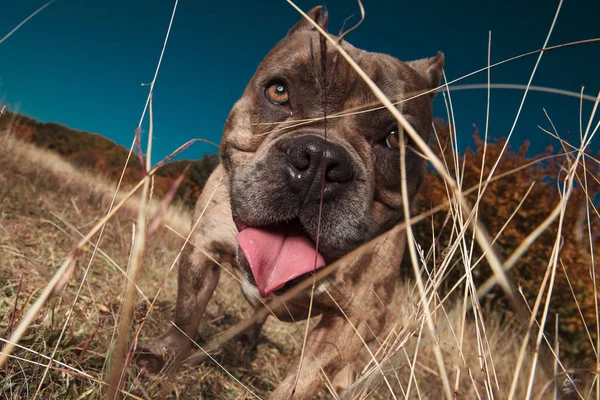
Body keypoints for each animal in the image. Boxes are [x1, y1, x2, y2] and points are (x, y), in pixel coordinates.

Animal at [137, 6, 446, 400]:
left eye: (395, 139)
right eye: (279, 91)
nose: (320, 160)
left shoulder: (351, 320)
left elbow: (303, 379)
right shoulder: (203, 248)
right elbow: (186, 317)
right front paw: (164, 360)